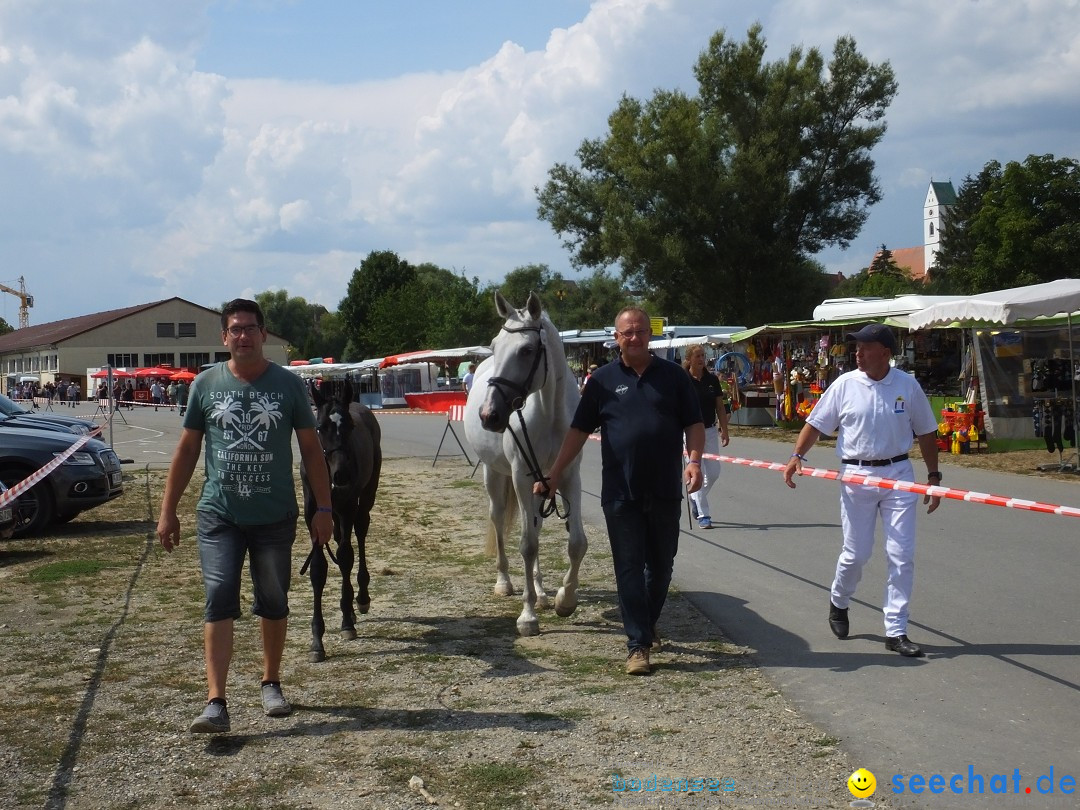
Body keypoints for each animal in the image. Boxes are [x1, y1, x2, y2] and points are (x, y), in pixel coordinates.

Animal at [460, 289, 587, 639]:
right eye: (494, 345)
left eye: (527, 350)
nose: (489, 415)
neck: (550, 412)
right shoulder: (520, 475)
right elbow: (527, 545)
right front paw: (528, 616)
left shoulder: (568, 476)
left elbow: (576, 543)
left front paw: (564, 600)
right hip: (495, 475)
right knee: (499, 520)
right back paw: (505, 582)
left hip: (542, 484)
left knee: (537, 524)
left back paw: (542, 592)